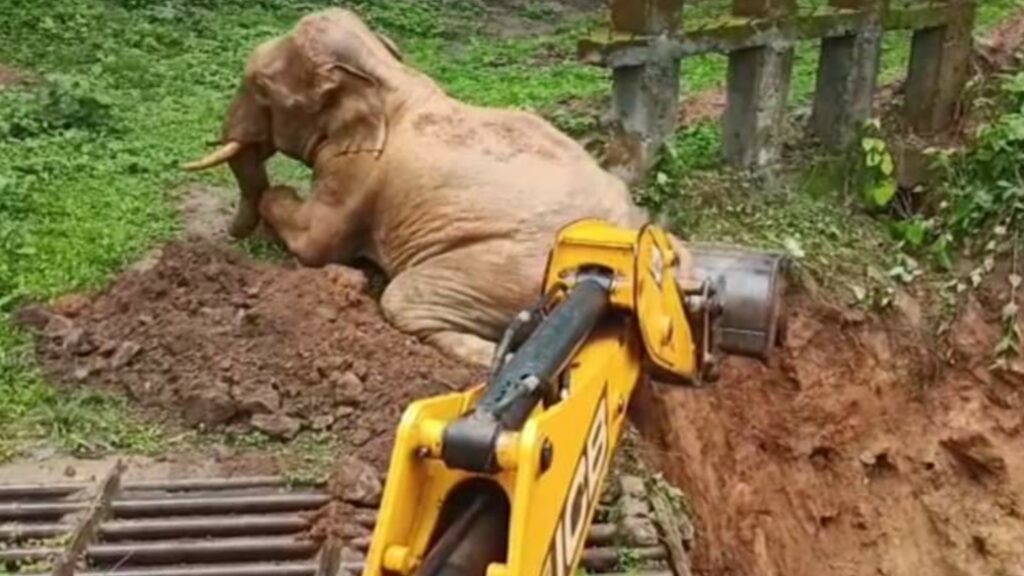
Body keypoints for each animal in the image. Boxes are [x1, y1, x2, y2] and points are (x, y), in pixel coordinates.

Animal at [183, 7, 661, 367]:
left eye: (262, 87)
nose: (234, 237)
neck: (387, 76)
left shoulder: (356, 169)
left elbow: (316, 244)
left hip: (515, 270)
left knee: (400, 299)